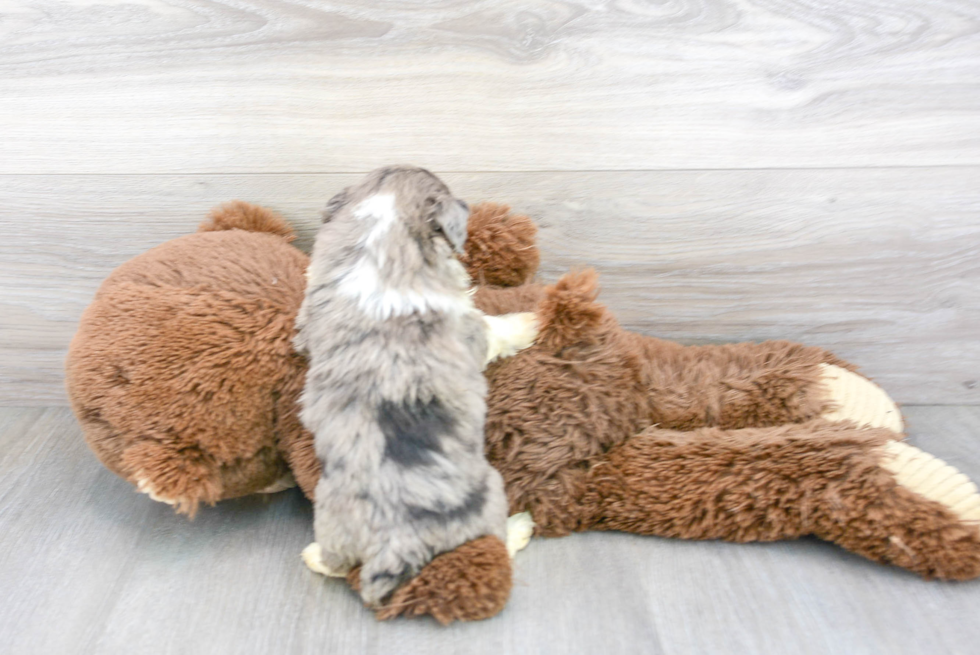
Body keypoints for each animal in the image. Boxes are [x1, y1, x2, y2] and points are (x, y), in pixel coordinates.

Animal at [296, 167, 536, 608]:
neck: (381, 240)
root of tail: (392, 545)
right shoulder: (471, 329)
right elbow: (495, 328)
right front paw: (530, 323)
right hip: (490, 493)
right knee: (495, 542)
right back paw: (521, 525)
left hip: (331, 517)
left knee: (337, 564)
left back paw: (313, 554)